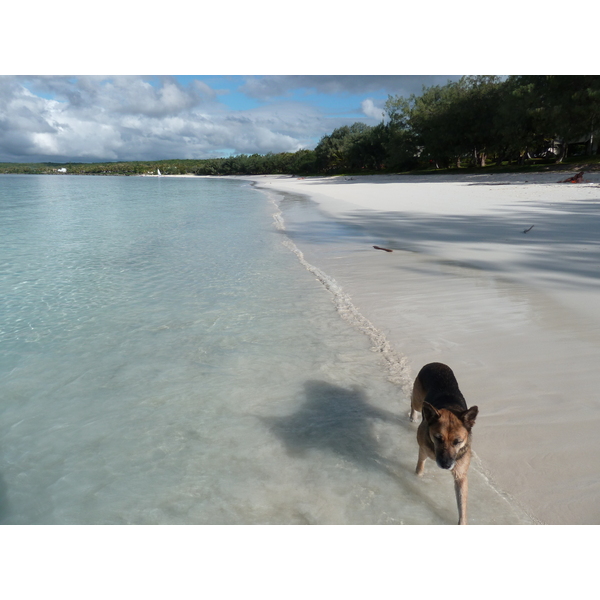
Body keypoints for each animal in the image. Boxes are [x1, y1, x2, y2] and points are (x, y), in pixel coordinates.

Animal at [408, 360, 478, 524]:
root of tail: (435, 363)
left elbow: (462, 505)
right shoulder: (423, 449)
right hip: (418, 400)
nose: (446, 465)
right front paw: (417, 478)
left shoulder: (460, 475)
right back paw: (413, 416)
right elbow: (419, 468)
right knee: (413, 403)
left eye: (458, 441)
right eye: (438, 438)